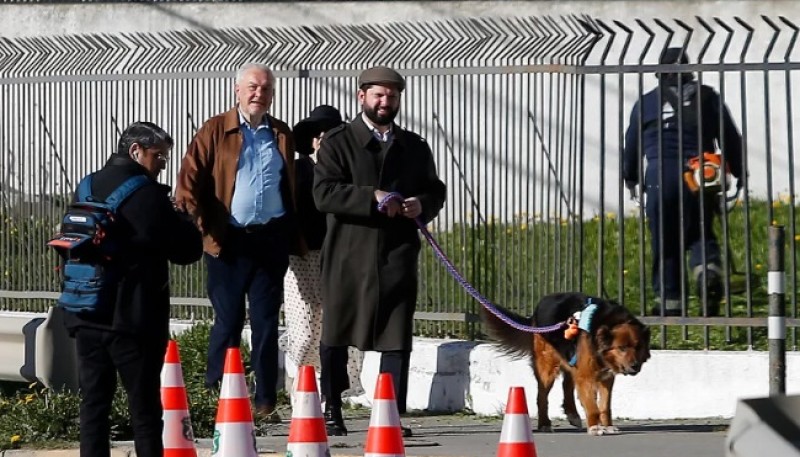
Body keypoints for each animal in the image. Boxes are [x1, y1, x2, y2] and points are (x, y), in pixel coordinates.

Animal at [482, 292, 648, 434]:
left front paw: (607, 426)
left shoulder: (606, 377)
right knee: (542, 397)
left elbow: (605, 406)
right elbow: (592, 406)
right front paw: (594, 427)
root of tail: (539, 305)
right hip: (547, 368)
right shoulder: (586, 376)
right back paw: (544, 424)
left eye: (638, 347)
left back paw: (572, 414)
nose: (635, 366)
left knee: (566, 385)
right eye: (622, 348)